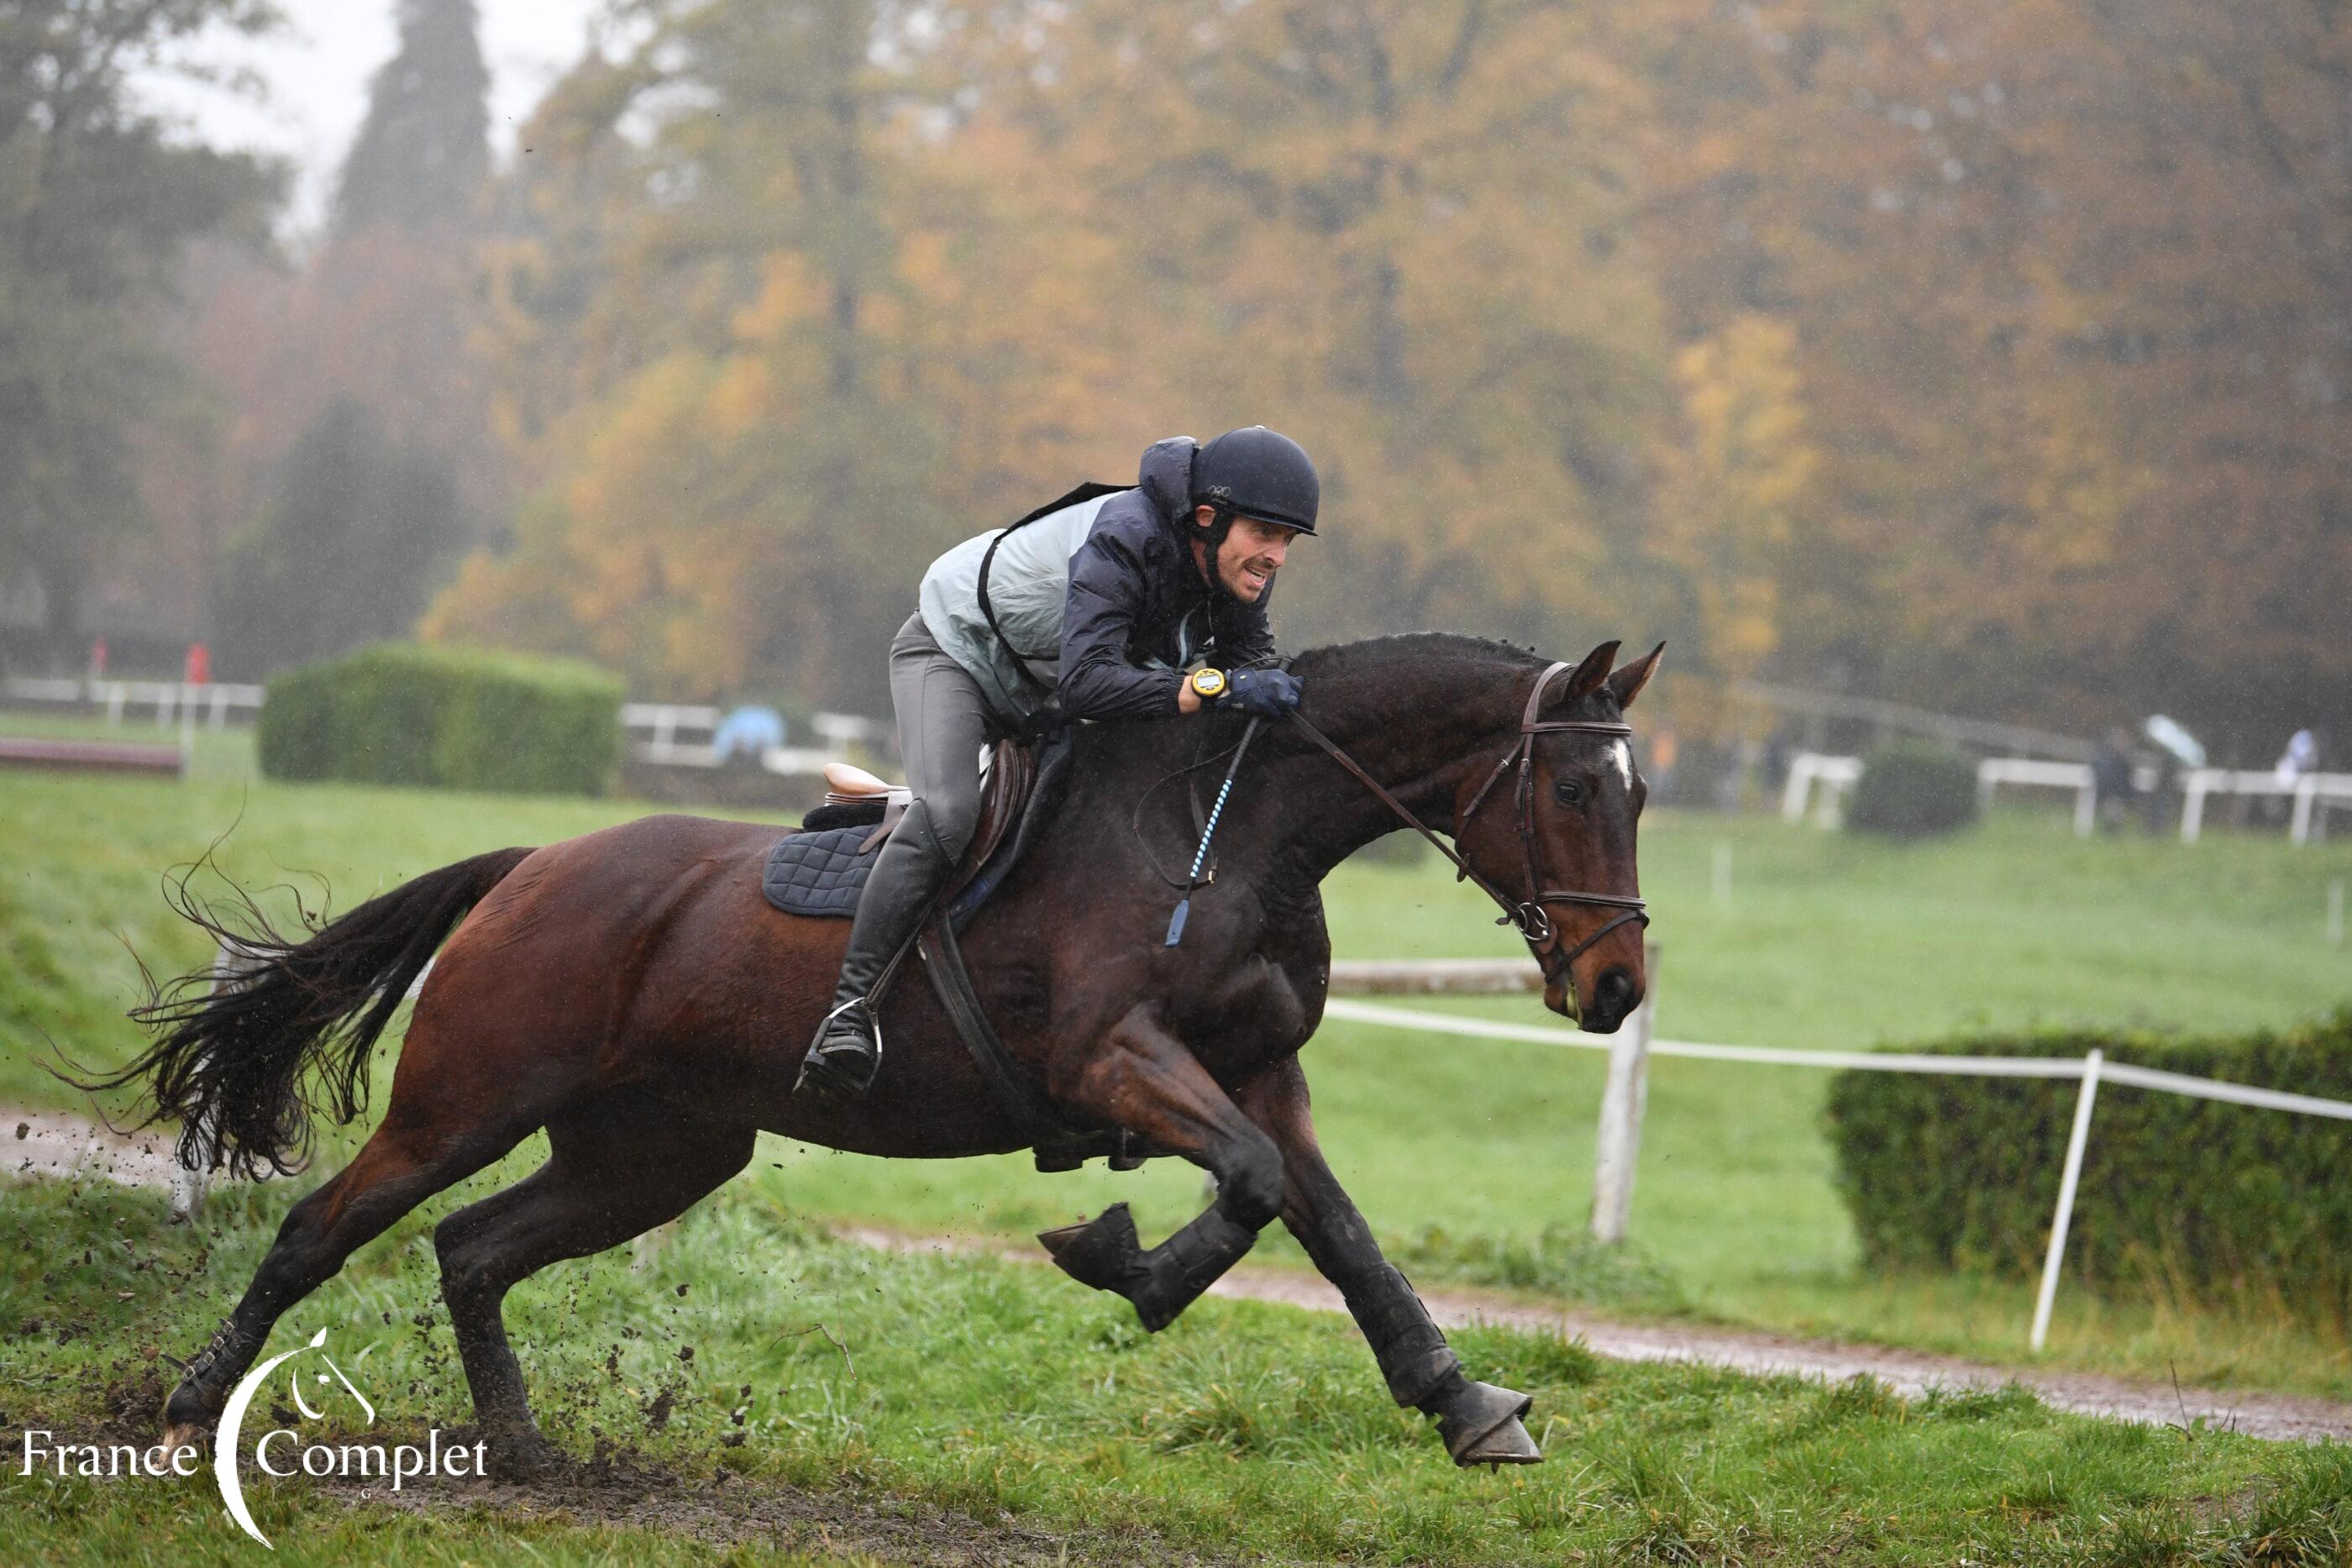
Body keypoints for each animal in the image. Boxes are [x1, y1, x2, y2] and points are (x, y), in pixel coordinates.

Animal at [99, 631, 1660, 1476]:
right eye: (1577, 788)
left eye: (1641, 794)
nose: (1618, 986)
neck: (1234, 829)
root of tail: (530, 862)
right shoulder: (1112, 1055)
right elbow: (1253, 1188)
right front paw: (1117, 1254)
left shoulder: (1265, 1073)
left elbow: (1333, 1228)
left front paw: (1466, 1404)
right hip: (467, 1097)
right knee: (322, 1224)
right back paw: (184, 1411)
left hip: (658, 1146)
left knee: (473, 1247)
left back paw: (525, 1445)